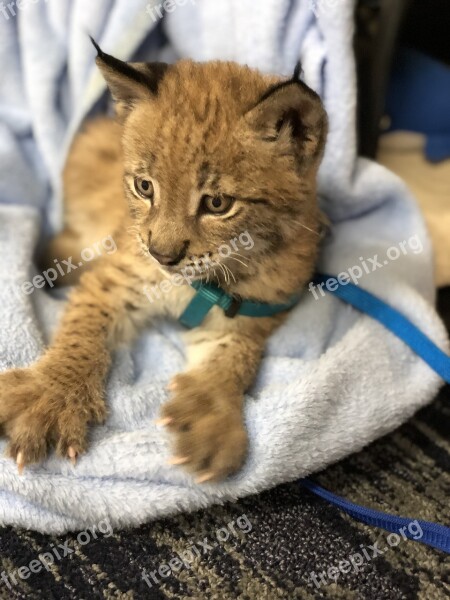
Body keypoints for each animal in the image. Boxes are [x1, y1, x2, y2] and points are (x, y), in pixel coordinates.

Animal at [0, 41, 326, 482]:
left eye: (217, 204)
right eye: (144, 187)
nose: (162, 254)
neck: (200, 281)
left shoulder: (253, 311)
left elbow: (234, 359)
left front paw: (210, 415)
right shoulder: (117, 278)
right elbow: (82, 332)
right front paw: (52, 395)